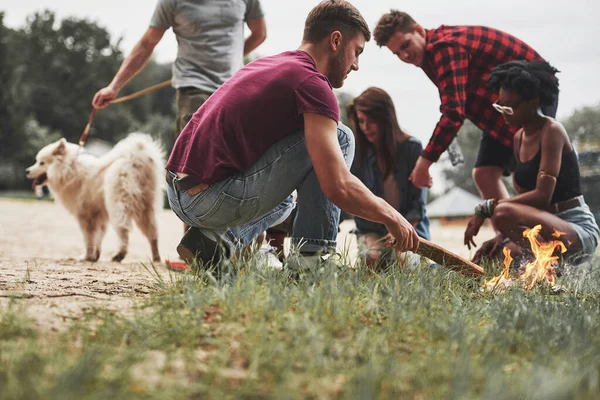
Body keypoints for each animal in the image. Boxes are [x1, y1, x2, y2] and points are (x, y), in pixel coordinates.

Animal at [26, 132, 164, 262]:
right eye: (37, 161)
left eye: (41, 163)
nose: (27, 170)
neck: (68, 169)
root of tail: (135, 160)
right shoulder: (99, 215)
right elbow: (99, 236)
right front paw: (95, 256)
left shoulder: (85, 216)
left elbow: (89, 238)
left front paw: (86, 256)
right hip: (146, 208)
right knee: (152, 233)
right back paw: (156, 257)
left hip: (118, 205)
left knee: (123, 230)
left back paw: (119, 255)